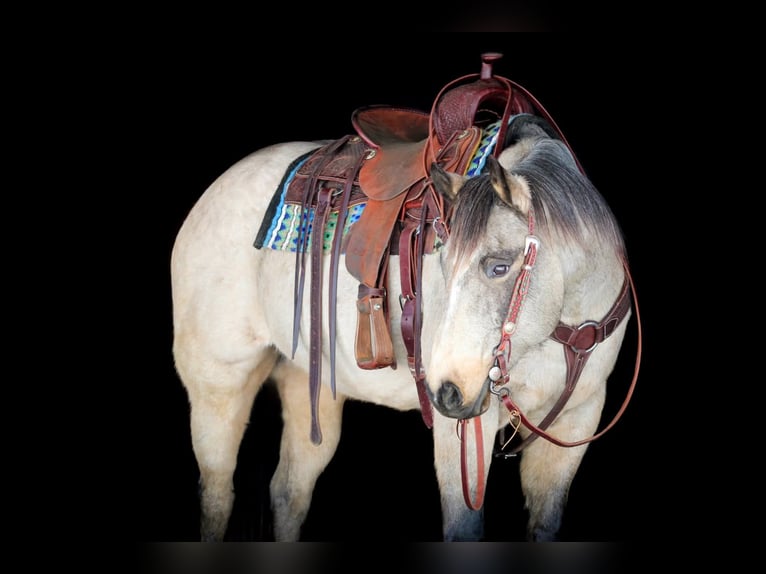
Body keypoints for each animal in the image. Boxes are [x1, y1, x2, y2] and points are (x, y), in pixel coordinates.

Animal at [170, 55, 640, 542]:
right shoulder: (464, 430)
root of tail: (213, 193)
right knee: (217, 493)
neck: (563, 330)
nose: (447, 393)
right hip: (218, 384)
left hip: (307, 383)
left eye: (498, 267)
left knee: (288, 491)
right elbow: (463, 529)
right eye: (443, 261)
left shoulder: (576, 422)